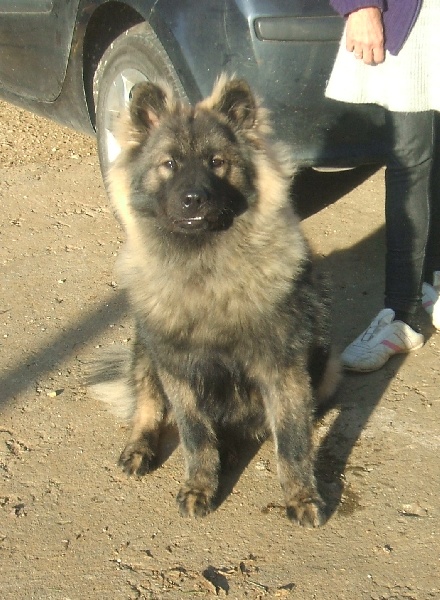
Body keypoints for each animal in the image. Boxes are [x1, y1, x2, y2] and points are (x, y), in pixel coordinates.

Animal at [91, 74, 340, 524]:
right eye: (169, 164)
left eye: (216, 162)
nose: (194, 198)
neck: (205, 273)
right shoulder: (176, 367)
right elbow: (195, 436)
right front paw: (199, 486)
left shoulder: (282, 368)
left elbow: (292, 443)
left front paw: (300, 496)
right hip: (145, 348)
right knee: (146, 405)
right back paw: (139, 448)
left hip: (327, 368)